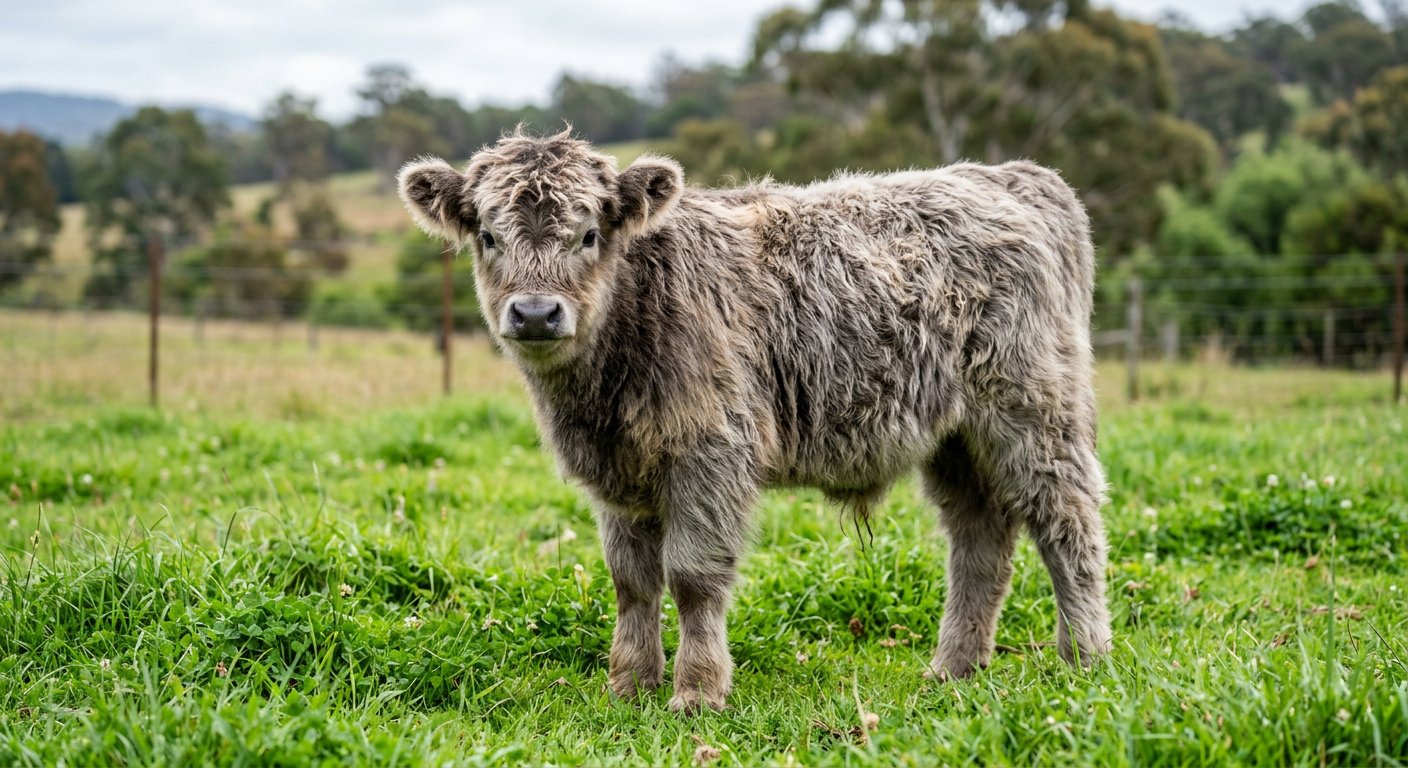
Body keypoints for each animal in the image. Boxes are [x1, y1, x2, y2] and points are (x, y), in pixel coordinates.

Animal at [398, 129, 1112, 713]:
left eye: (589, 235)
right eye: (489, 237)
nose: (536, 313)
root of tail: (1008, 176)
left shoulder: (711, 454)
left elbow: (692, 577)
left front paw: (696, 691)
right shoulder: (618, 475)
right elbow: (631, 581)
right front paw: (629, 685)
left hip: (1034, 412)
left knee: (1067, 525)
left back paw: (1084, 658)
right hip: (956, 439)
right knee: (980, 540)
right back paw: (954, 668)